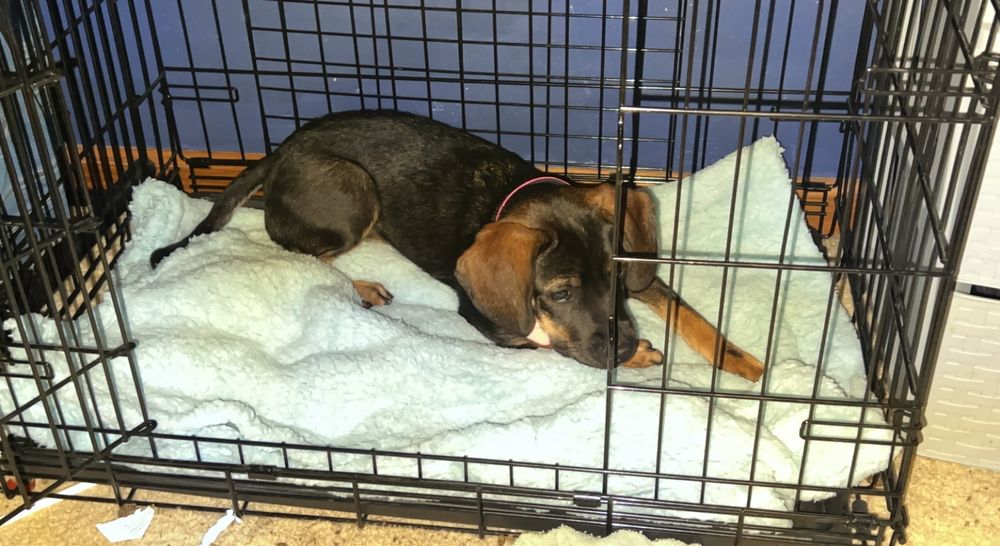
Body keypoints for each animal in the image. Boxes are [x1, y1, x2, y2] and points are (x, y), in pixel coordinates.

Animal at [150, 110, 763, 381]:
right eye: (559, 294)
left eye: (615, 280)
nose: (622, 346)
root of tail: (281, 150)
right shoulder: (491, 321)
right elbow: (547, 340)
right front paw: (637, 355)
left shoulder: (641, 269)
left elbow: (690, 314)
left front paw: (748, 366)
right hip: (353, 194)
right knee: (291, 248)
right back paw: (362, 287)